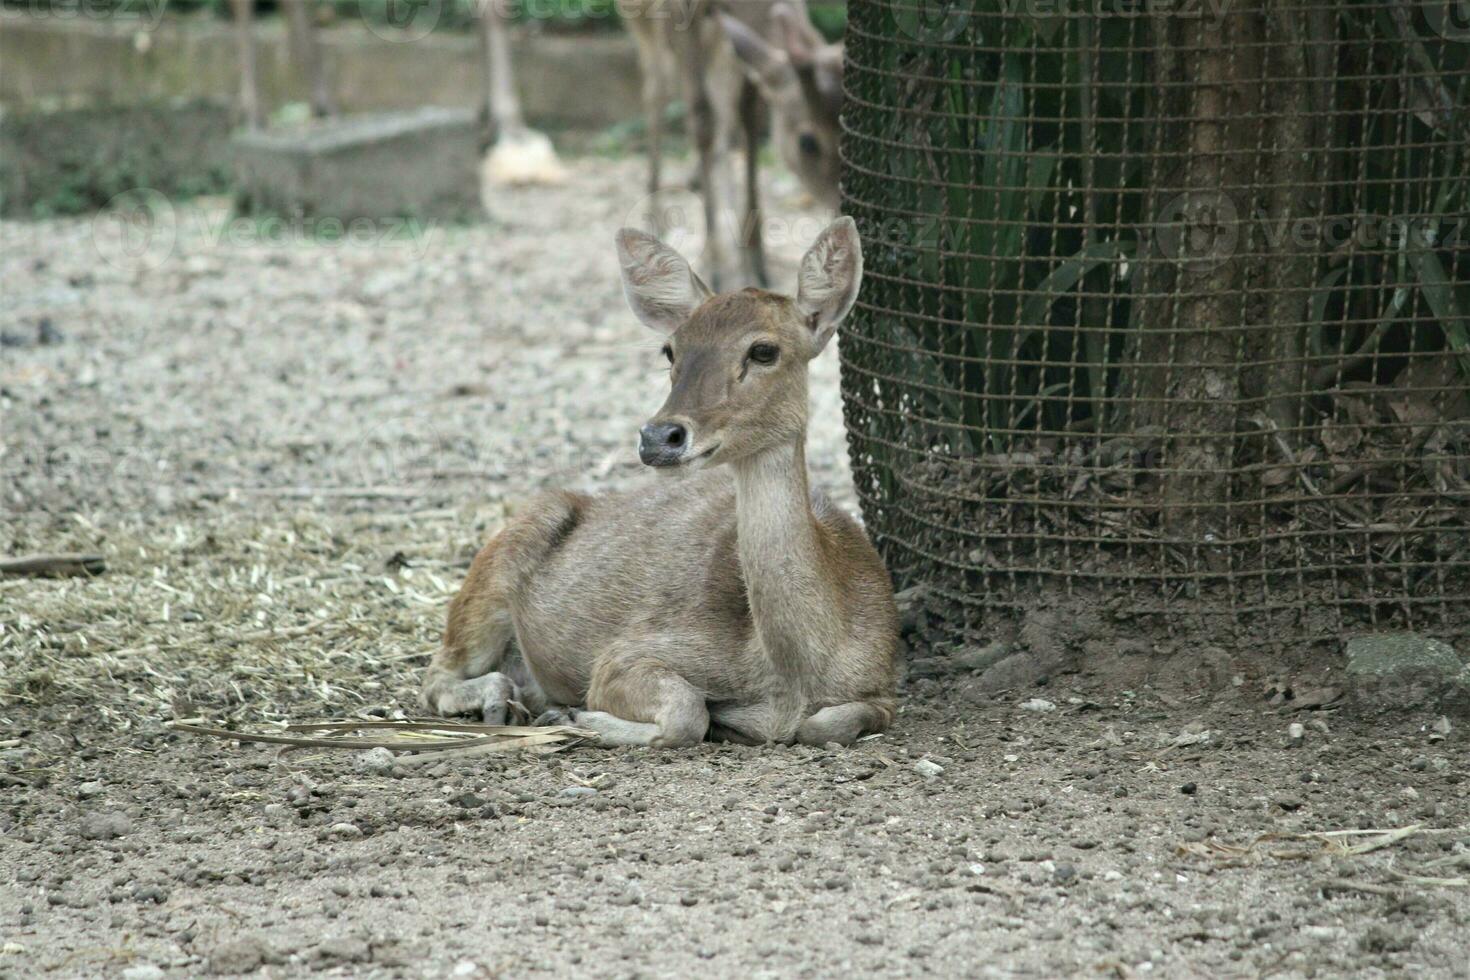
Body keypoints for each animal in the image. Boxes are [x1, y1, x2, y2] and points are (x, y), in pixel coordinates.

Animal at [420, 218, 899, 746]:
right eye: (670, 349)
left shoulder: (883, 687)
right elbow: (687, 711)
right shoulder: (628, 652)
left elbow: (828, 722)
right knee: (436, 673)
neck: (796, 673)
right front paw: (574, 715)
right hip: (498, 565)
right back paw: (504, 699)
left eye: (764, 350)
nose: (658, 437)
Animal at [623, 0, 852, 289]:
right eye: (808, 142)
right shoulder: (679, 18)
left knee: (724, 113)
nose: (841, 210)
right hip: (643, 25)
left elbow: (749, 120)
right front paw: (716, 268)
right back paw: (655, 216)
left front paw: (756, 260)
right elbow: (701, 121)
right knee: (656, 88)